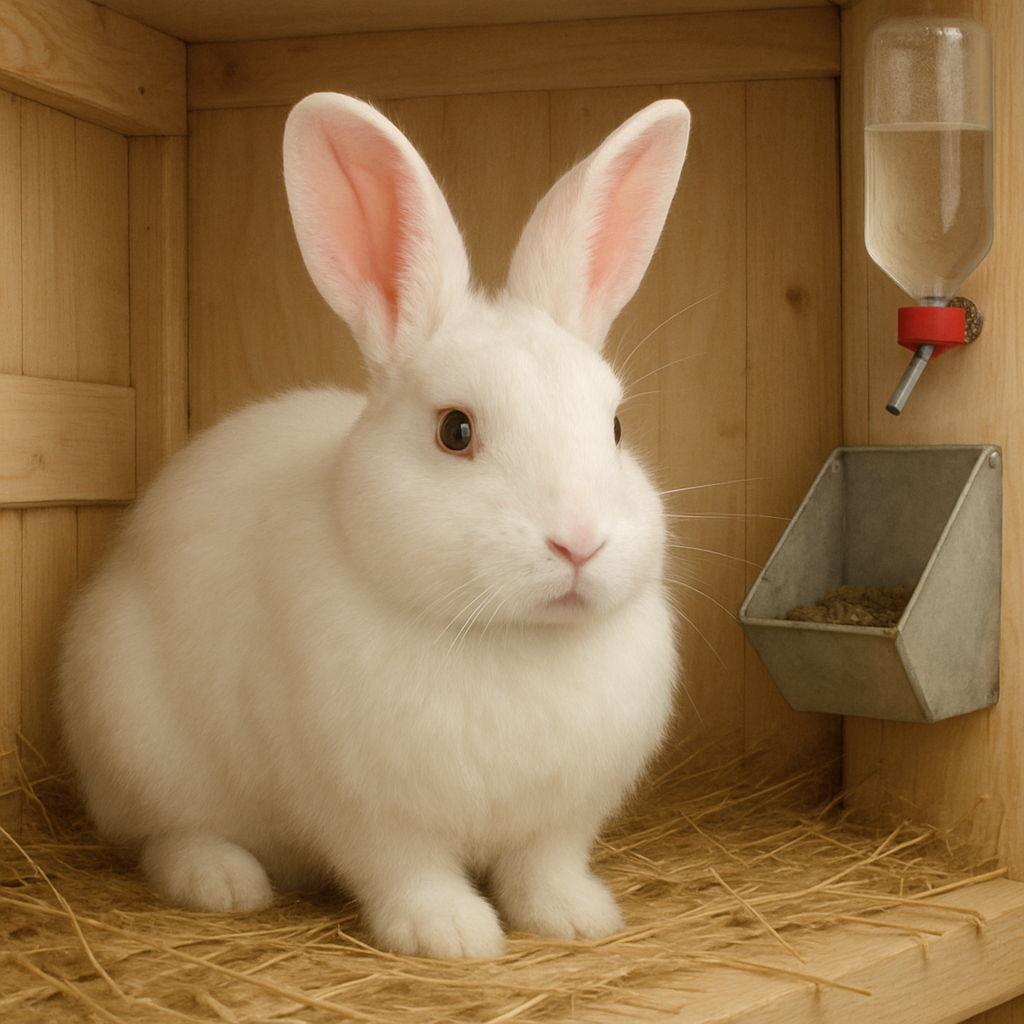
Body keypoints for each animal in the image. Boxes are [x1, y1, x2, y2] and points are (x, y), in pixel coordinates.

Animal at [57, 92, 690, 960]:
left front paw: (576, 917)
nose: (579, 542)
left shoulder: (561, 818)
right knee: (163, 835)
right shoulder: (365, 811)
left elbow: (544, 866)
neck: (509, 638)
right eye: (455, 431)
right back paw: (224, 882)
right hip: (136, 743)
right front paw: (451, 934)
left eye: (617, 427)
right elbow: (405, 870)